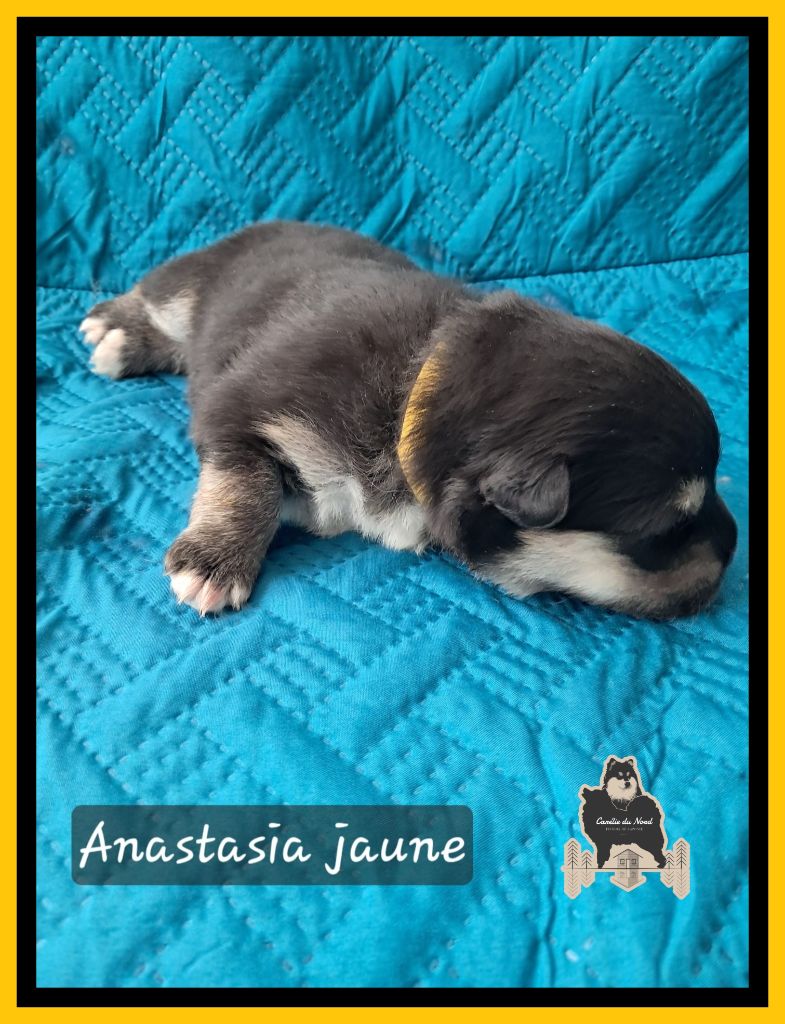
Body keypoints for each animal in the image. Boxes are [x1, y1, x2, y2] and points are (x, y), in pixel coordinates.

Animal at [79, 221, 737, 618]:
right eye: (662, 534)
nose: (735, 548)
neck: (421, 389)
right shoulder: (242, 402)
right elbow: (248, 479)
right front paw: (214, 563)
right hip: (196, 280)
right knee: (157, 300)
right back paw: (113, 331)